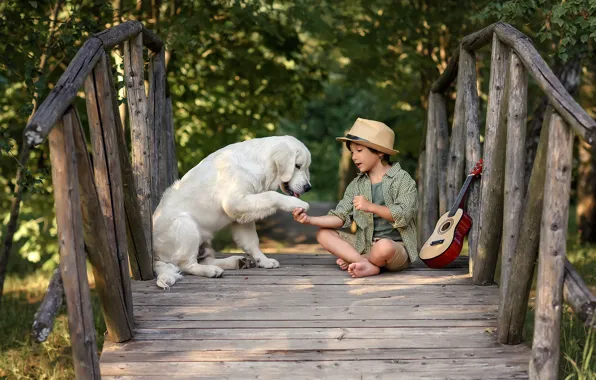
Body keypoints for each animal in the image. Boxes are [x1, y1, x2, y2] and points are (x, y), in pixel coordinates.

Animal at [151, 137, 312, 288]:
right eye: (297, 166)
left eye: (305, 167)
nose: (308, 187)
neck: (258, 164)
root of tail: (155, 254)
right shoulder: (235, 202)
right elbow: (271, 195)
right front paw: (298, 204)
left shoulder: (243, 213)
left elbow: (252, 242)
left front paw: (263, 260)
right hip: (185, 224)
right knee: (186, 264)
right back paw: (212, 270)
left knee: (205, 259)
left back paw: (236, 262)